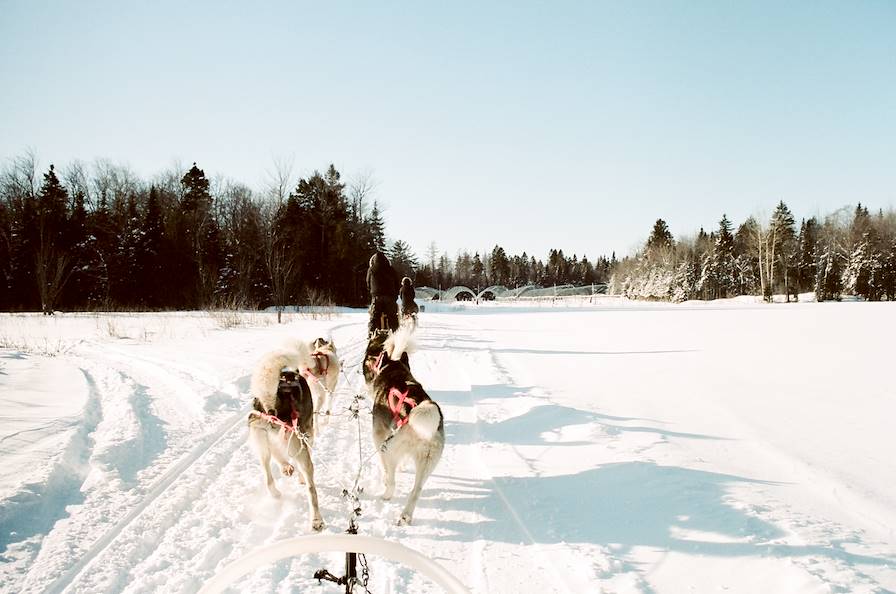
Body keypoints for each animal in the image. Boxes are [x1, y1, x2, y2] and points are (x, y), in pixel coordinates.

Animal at [247, 342, 324, 532]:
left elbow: (277, 453)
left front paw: (286, 467)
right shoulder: (305, 438)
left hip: (262, 441)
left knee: (268, 473)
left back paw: (277, 489)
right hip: (300, 446)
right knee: (311, 490)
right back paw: (316, 520)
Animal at [364, 324, 444, 524]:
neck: (395, 373)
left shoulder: (379, 436)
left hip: (389, 447)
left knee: (392, 479)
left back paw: (387, 494)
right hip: (427, 464)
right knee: (416, 491)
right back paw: (405, 516)